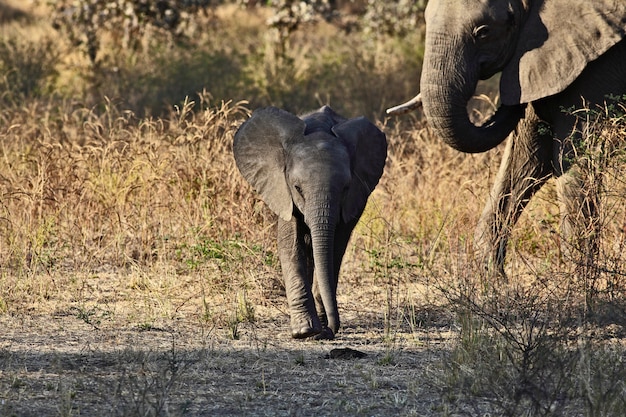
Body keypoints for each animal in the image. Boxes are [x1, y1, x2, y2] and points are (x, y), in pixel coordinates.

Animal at [234, 105, 386, 338]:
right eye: (297, 187)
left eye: (346, 188)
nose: (329, 331)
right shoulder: (283, 192)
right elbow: (291, 247)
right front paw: (304, 330)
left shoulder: (352, 201)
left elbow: (334, 250)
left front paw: (317, 327)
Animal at [388, 0, 620, 274]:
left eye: (483, 32)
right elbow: (529, 156)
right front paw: (492, 279)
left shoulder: (597, 63)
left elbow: (573, 158)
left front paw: (579, 281)